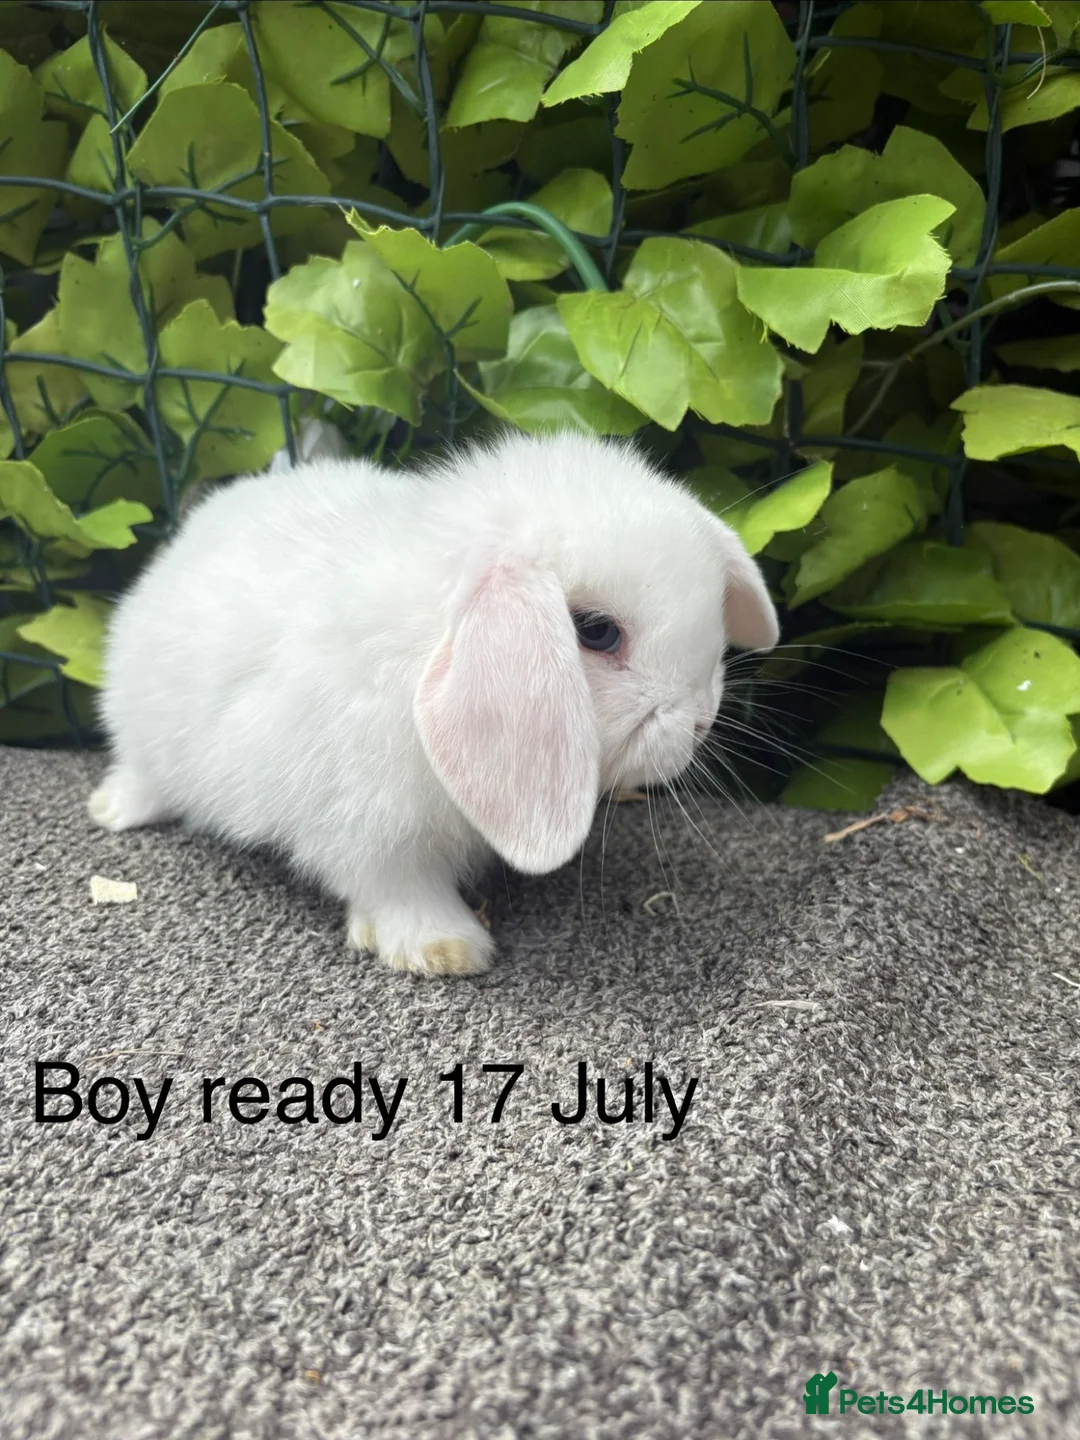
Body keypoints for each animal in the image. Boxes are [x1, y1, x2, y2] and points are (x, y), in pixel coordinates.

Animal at [88, 430, 779, 977]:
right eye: (597, 632)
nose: (701, 720)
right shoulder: (365, 828)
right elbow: (397, 888)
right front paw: (445, 950)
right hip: (143, 730)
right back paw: (114, 810)